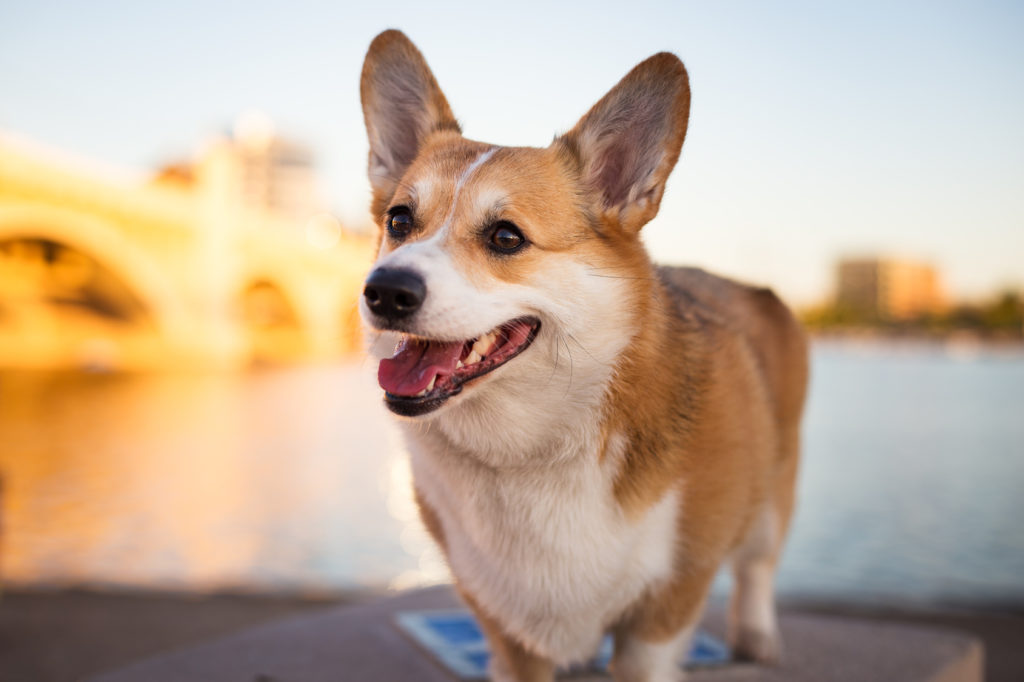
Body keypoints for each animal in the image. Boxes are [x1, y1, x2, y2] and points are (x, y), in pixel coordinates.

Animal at [360, 29, 806, 675]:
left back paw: (757, 636)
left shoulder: (666, 608)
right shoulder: (502, 618)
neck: (531, 448)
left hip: (775, 493)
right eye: (399, 220)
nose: (385, 291)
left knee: (757, 567)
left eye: (506, 236)